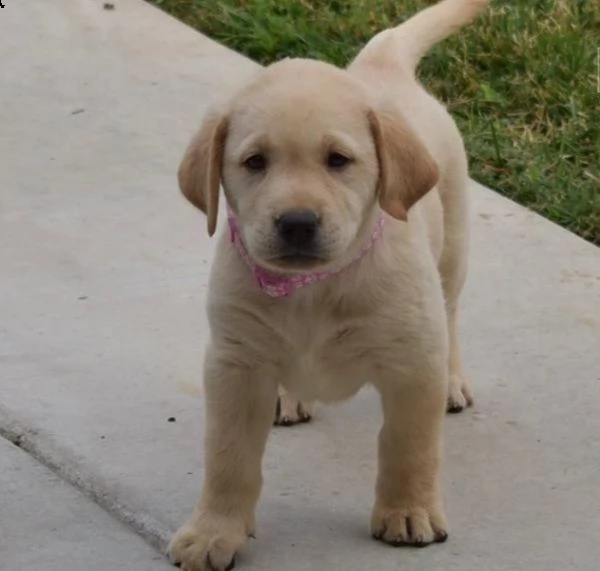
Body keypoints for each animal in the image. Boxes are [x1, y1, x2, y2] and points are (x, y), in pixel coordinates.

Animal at [168, 1, 488, 568]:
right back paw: (289, 397)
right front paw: (212, 532)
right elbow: (228, 458)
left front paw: (409, 511)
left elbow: (410, 446)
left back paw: (453, 381)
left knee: (449, 312)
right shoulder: (234, 364)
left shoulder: (411, 364)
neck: (310, 288)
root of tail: (380, 66)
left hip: (453, 243)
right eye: (254, 162)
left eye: (338, 160)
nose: (297, 222)